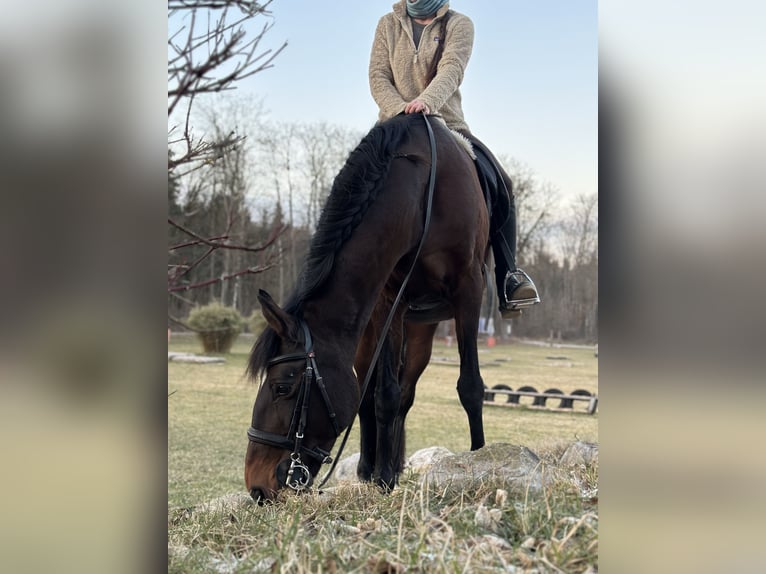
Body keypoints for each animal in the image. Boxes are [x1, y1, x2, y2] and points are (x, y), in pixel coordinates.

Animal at [244, 111, 492, 500]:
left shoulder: (470, 291)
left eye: (282, 387)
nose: (256, 485)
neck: (424, 195)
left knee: (406, 391)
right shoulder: (391, 300)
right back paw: (370, 468)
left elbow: (469, 386)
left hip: (422, 329)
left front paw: (480, 459)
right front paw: (383, 479)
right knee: (371, 393)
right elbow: (383, 395)